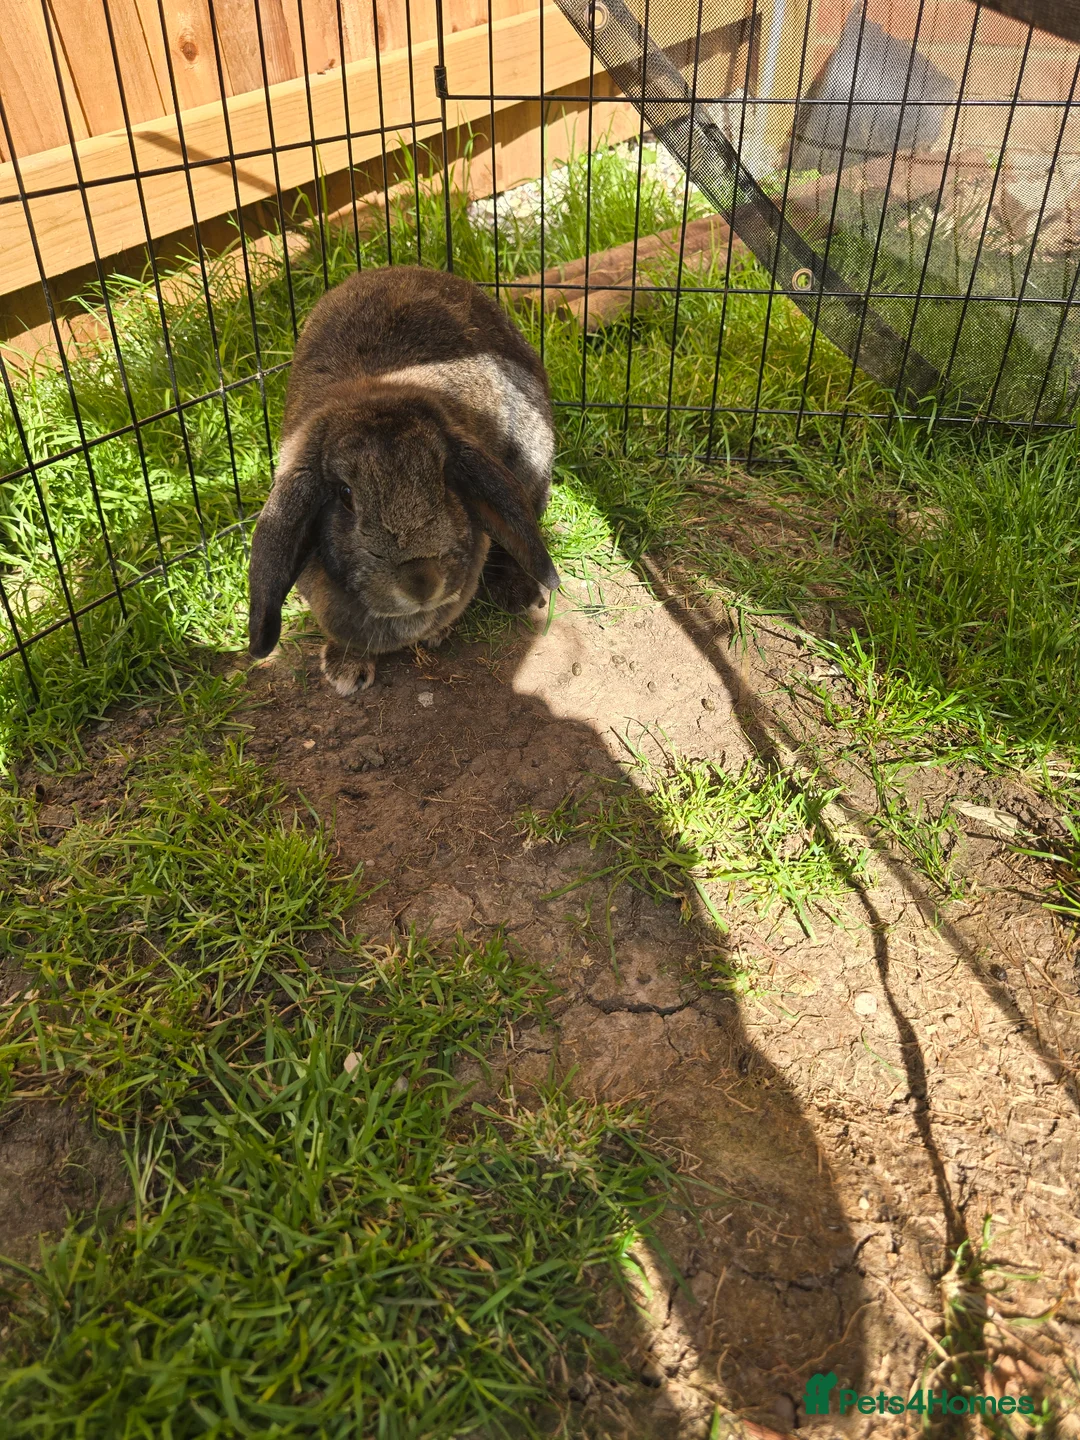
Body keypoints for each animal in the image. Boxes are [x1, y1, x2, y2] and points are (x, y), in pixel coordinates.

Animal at [247, 265, 559, 694]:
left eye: (444, 478)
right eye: (345, 494)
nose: (421, 582)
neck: (375, 392)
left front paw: (436, 633)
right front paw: (345, 669)